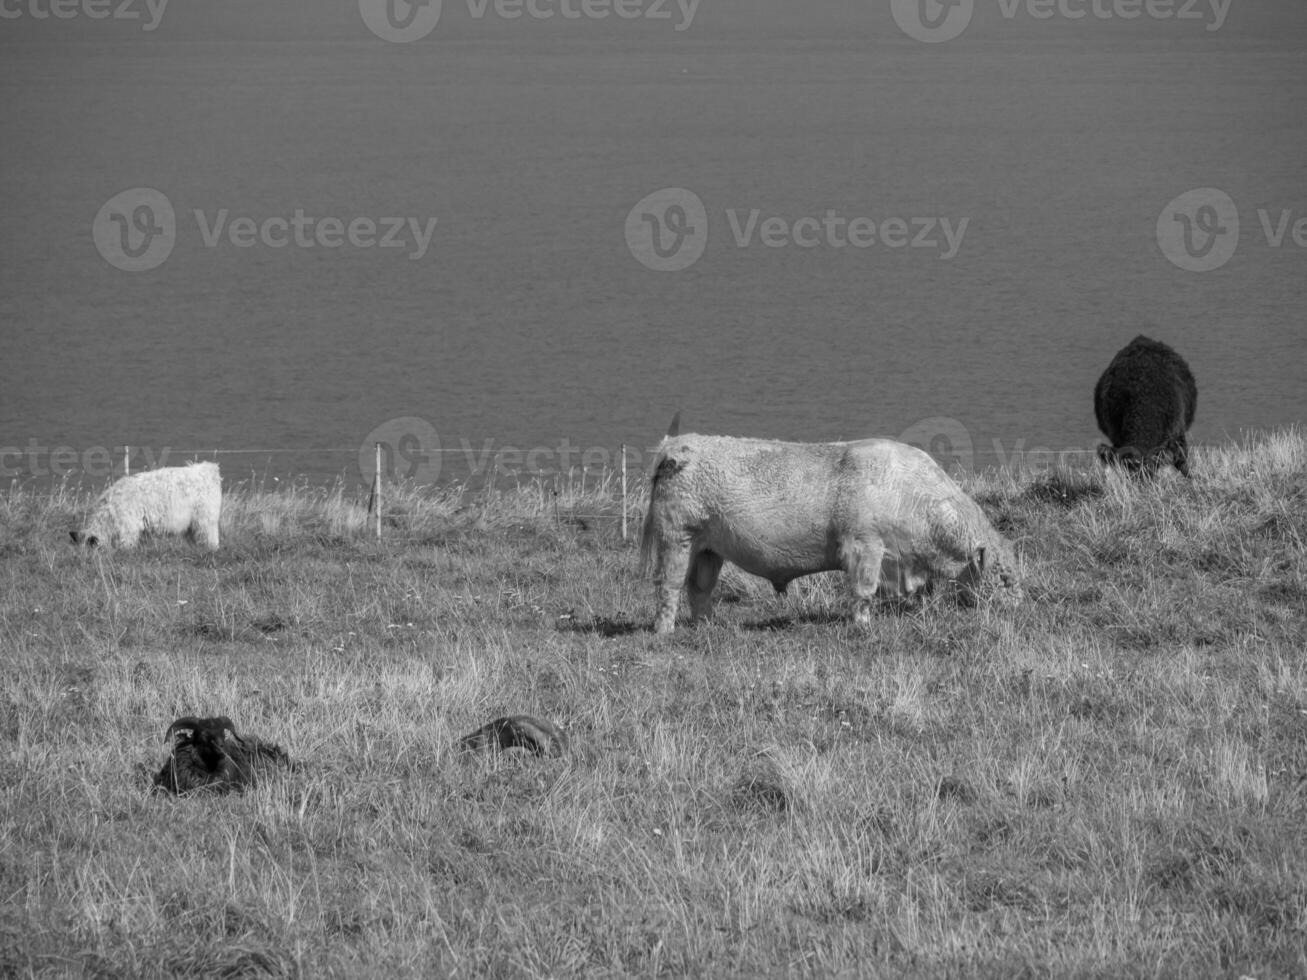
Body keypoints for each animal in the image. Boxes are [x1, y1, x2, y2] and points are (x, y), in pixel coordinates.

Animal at [643, 431, 1019, 632]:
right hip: (676, 538)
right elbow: (864, 589)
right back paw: (665, 631)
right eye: (1003, 578)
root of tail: (674, 445)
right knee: (669, 585)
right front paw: (863, 624)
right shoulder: (865, 545)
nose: (1018, 608)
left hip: (709, 549)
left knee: (699, 588)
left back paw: (707, 625)